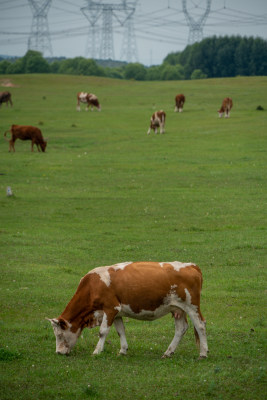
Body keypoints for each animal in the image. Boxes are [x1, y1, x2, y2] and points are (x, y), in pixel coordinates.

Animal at [46, 260, 209, 358]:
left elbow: (103, 331)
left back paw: (203, 353)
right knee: (181, 328)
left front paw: (97, 351)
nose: (58, 352)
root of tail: (191, 265)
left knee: (200, 325)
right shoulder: (117, 313)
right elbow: (120, 331)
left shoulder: (110, 308)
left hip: (192, 306)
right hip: (177, 309)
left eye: (59, 335)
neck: (93, 285)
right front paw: (122, 350)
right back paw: (168, 352)